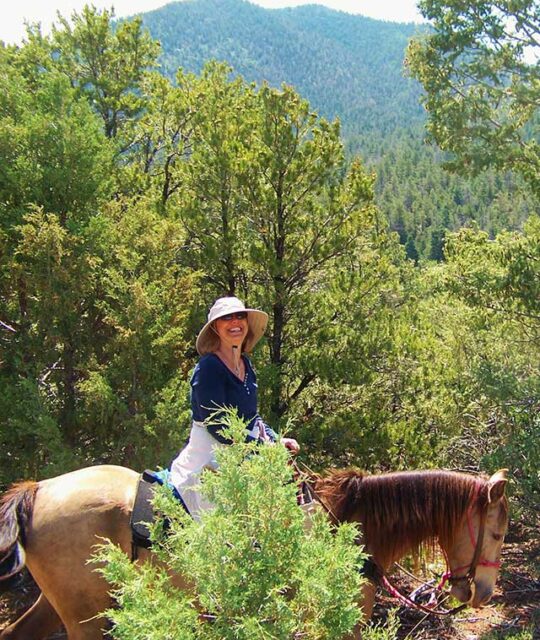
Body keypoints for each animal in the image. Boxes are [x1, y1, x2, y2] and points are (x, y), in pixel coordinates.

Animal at [0, 464, 506, 640]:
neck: (346, 525)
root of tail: (37, 490)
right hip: (85, 618)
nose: (482, 594)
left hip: (60, 605)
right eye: (500, 533)